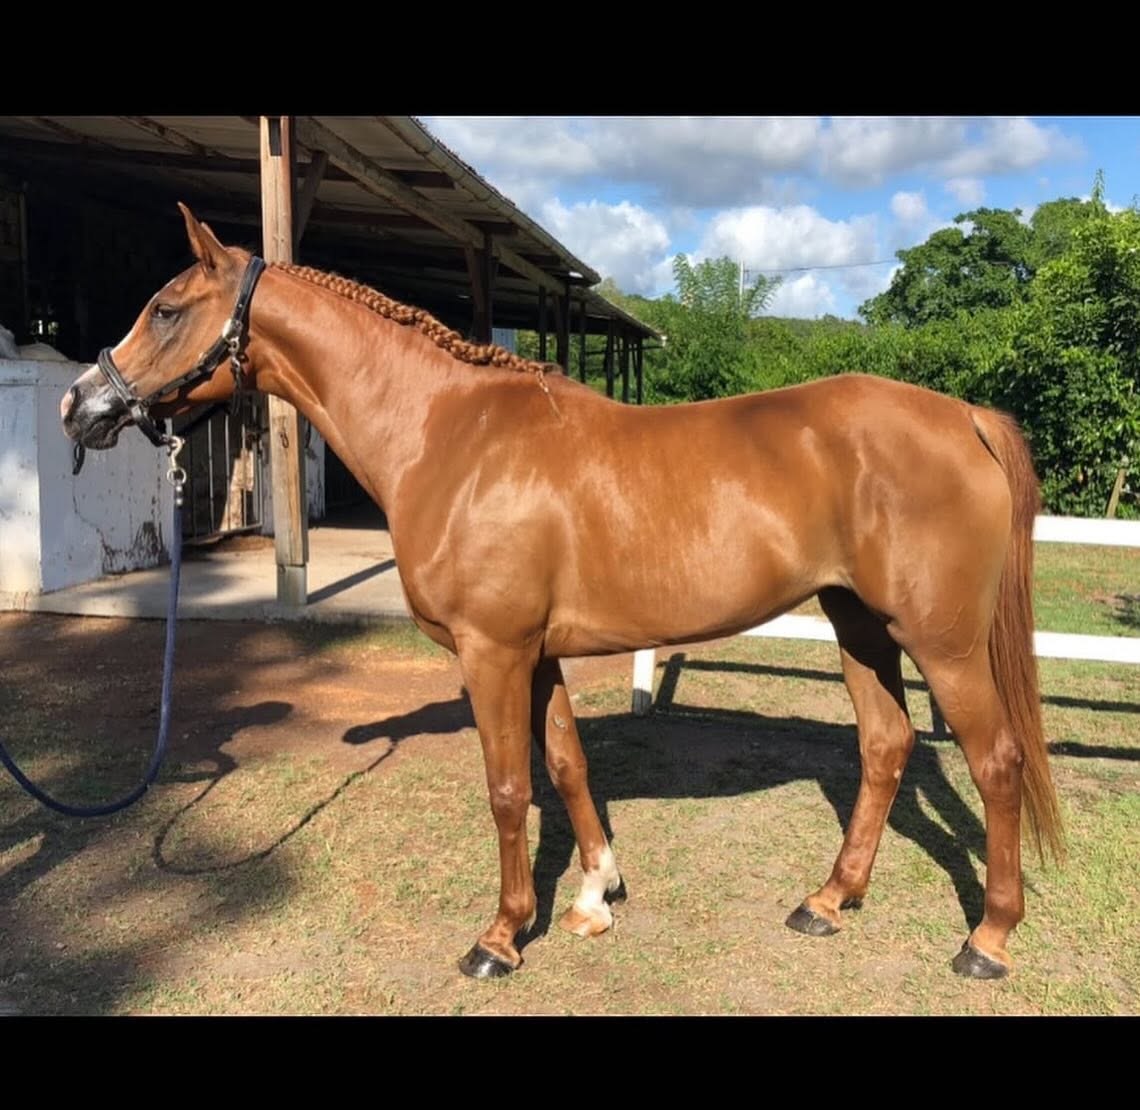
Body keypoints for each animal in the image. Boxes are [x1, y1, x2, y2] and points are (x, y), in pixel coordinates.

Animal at [60, 204, 1063, 982]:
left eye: (165, 309)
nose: (79, 407)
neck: (449, 434)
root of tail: (962, 416)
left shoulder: (493, 651)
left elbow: (509, 788)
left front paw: (501, 937)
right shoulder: (536, 655)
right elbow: (569, 767)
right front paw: (594, 895)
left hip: (941, 641)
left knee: (997, 761)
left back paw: (987, 939)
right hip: (859, 623)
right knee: (886, 747)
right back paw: (828, 898)